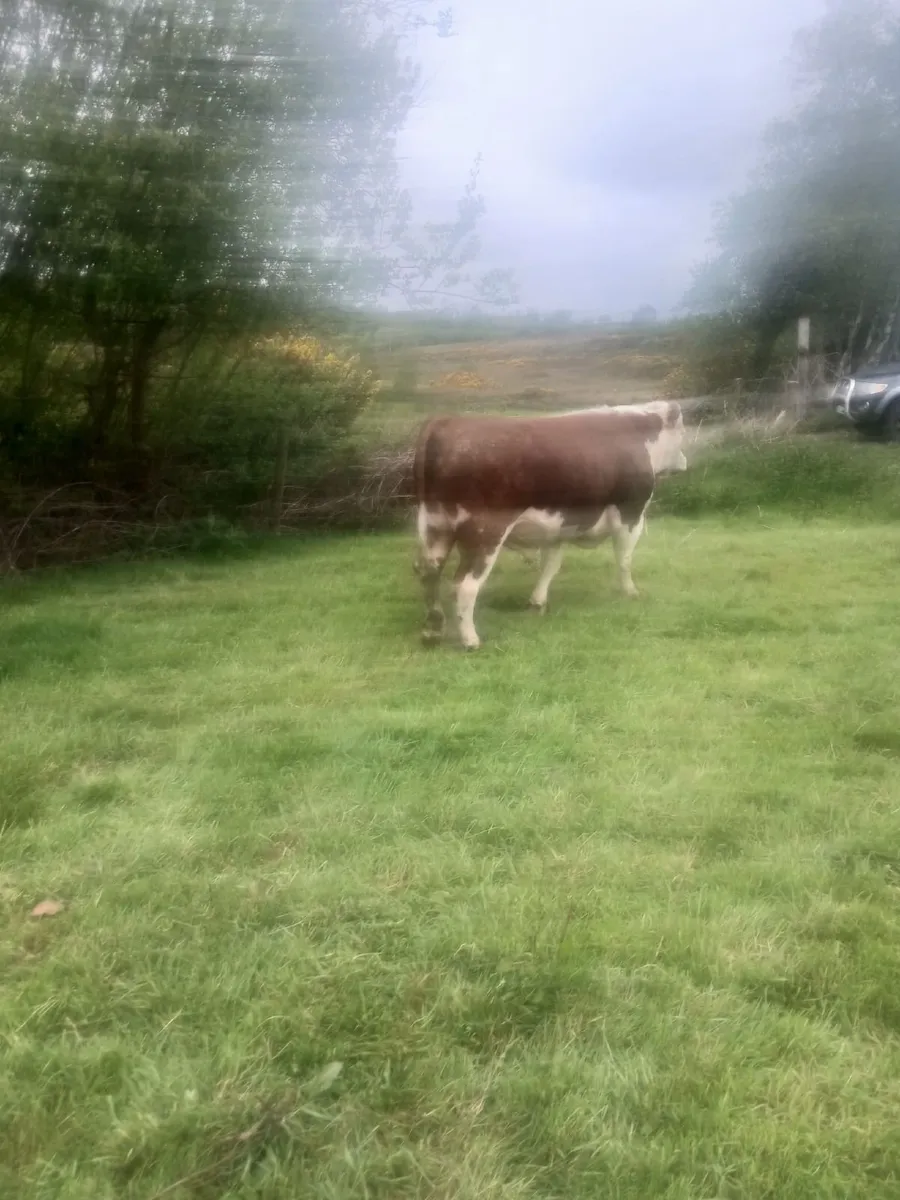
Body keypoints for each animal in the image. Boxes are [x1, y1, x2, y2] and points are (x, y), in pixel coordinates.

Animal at [412, 400, 688, 649]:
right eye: (683, 430)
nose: (685, 461)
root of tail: (449, 421)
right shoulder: (631, 514)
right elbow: (624, 560)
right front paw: (630, 592)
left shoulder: (558, 528)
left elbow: (551, 565)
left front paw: (537, 602)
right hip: (485, 532)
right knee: (465, 585)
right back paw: (470, 640)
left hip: (434, 526)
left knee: (428, 573)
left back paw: (432, 631)